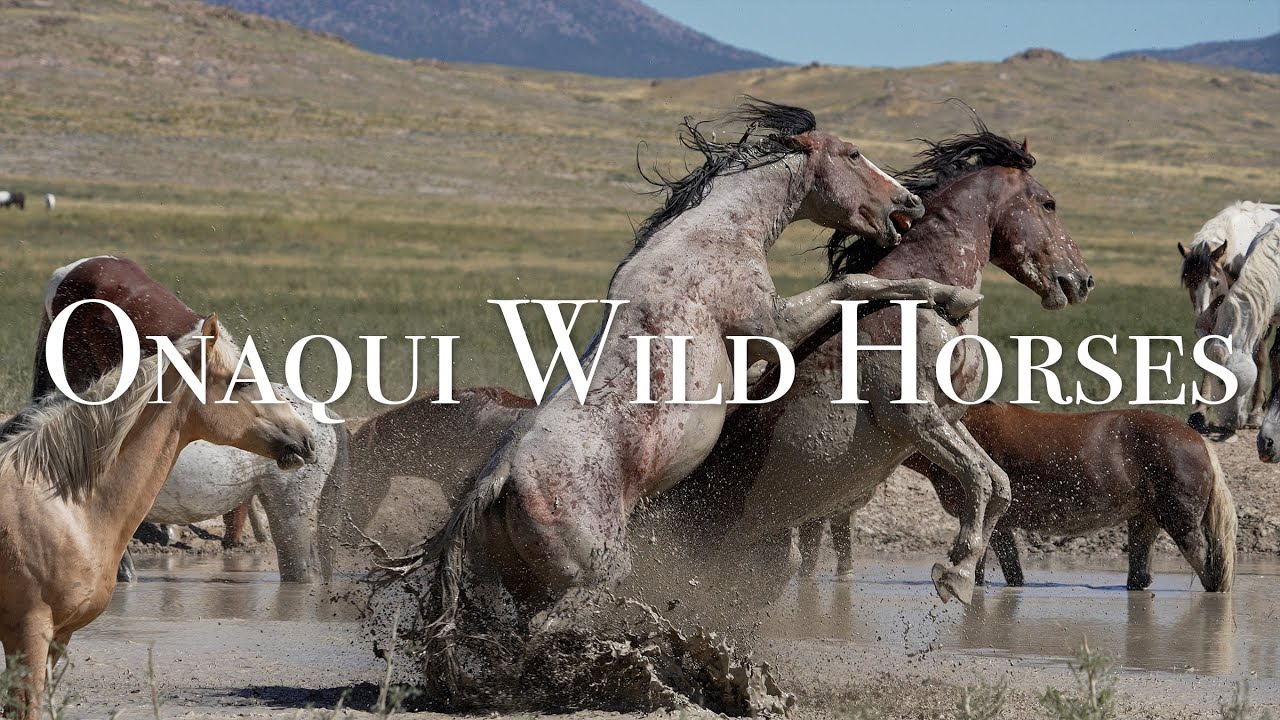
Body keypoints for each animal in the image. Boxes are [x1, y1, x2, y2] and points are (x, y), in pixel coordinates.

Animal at [375, 100, 982, 697]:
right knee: (547, 631)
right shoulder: (774, 324)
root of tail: (499, 478)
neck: (713, 236)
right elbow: (854, 286)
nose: (908, 203)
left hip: (528, 582)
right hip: (595, 574)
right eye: (853, 154)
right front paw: (951, 294)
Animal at [645, 118, 1093, 607]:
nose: (1083, 280)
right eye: (1048, 203)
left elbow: (999, 484)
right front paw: (954, 573)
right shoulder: (909, 412)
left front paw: (961, 569)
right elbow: (978, 478)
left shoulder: (947, 416)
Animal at [801, 402, 1237, 593]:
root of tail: (1197, 438)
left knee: (1206, 565)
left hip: (1179, 521)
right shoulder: (1001, 525)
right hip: (1144, 519)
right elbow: (1011, 573)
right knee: (1140, 575)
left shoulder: (986, 519)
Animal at [1180, 201, 1280, 430]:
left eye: (1215, 282)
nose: (1201, 320)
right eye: (1189, 283)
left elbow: (1261, 357)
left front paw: (1255, 412)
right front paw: (1200, 411)